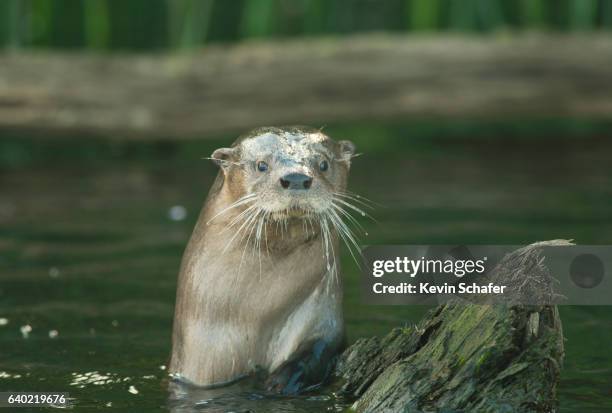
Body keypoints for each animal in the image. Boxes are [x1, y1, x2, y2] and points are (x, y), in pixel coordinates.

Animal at [167, 125, 358, 392]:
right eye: (261, 165)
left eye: (323, 164)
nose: (296, 178)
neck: (257, 316)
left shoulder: (324, 320)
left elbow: (318, 350)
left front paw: (282, 380)